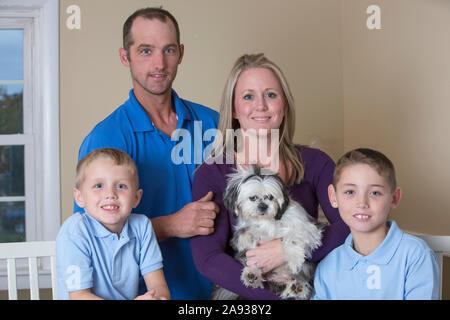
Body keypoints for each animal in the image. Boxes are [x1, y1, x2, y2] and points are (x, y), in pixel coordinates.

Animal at [213, 165, 322, 300]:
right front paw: (246, 238)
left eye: (270, 197)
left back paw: (296, 288)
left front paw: (295, 258)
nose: (263, 206)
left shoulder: (307, 226)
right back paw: (252, 275)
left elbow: (291, 237)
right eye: (253, 198)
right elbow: (244, 233)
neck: (267, 221)